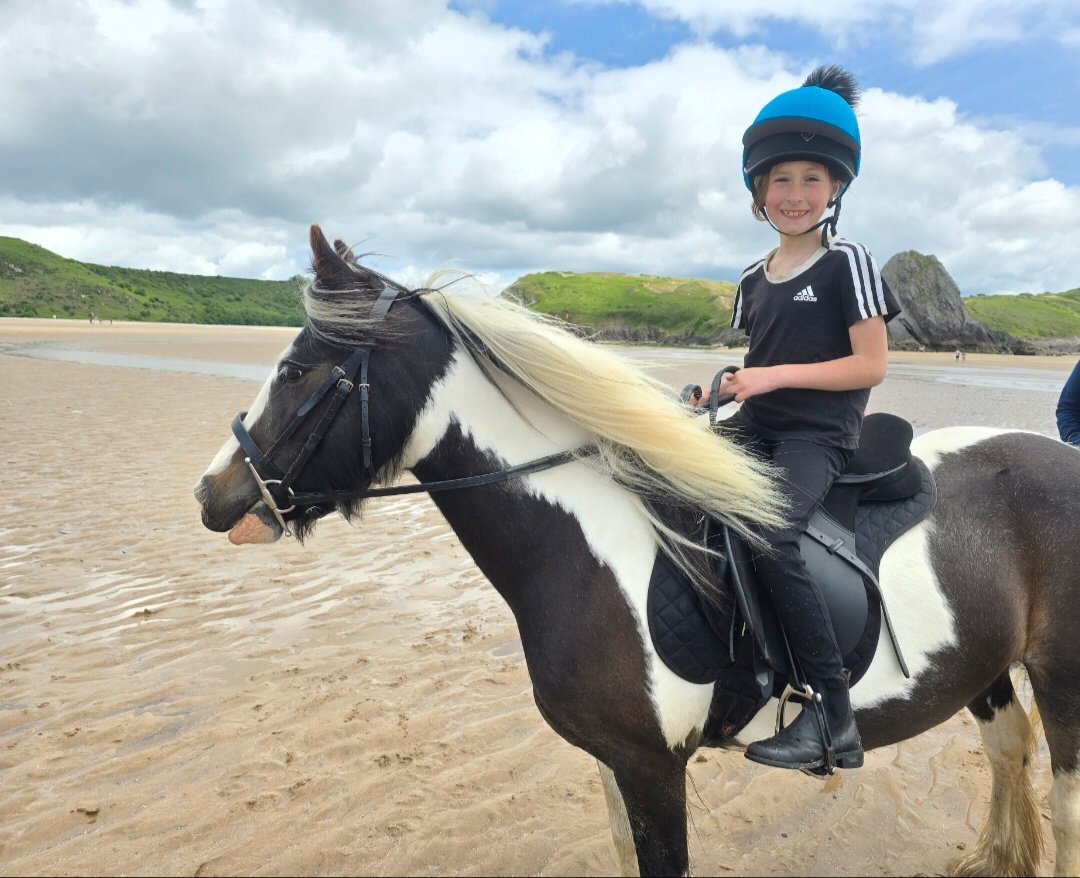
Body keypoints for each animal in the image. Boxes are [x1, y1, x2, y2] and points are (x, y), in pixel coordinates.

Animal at [195, 225, 1080, 877]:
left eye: (298, 368)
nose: (213, 494)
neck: (591, 551)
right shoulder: (613, 761)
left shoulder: (654, 767)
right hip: (982, 665)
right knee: (1008, 752)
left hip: (1062, 678)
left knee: (1063, 804)